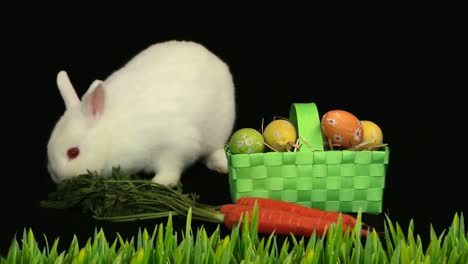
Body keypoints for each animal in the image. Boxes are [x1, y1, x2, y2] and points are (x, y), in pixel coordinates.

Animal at [46, 40, 236, 187]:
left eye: (73, 152)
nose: (57, 177)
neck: (109, 138)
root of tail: (212, 57)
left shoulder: (176, 146)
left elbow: (171, 167)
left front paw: (159, 183)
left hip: (219, 128)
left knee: (216, 148)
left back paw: (221, 166)